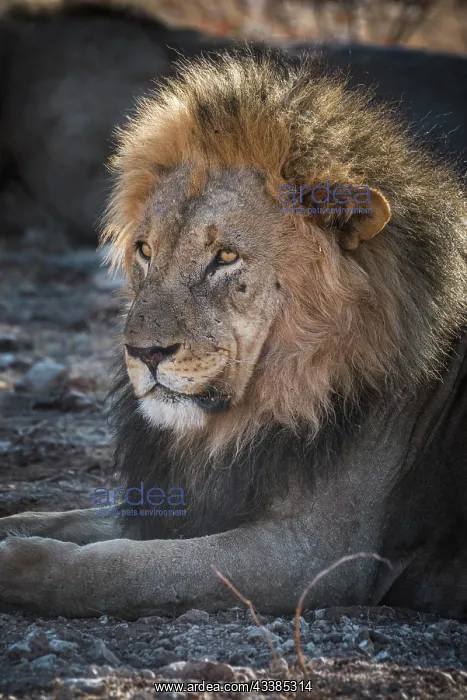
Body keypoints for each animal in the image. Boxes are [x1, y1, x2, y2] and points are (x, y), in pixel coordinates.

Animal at [1, 52, 467, 619]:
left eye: (225, 256)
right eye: (145, 250)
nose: (143, 352)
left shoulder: (319, 553)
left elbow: (129, 566)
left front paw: (19, 564)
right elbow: (66, 520)